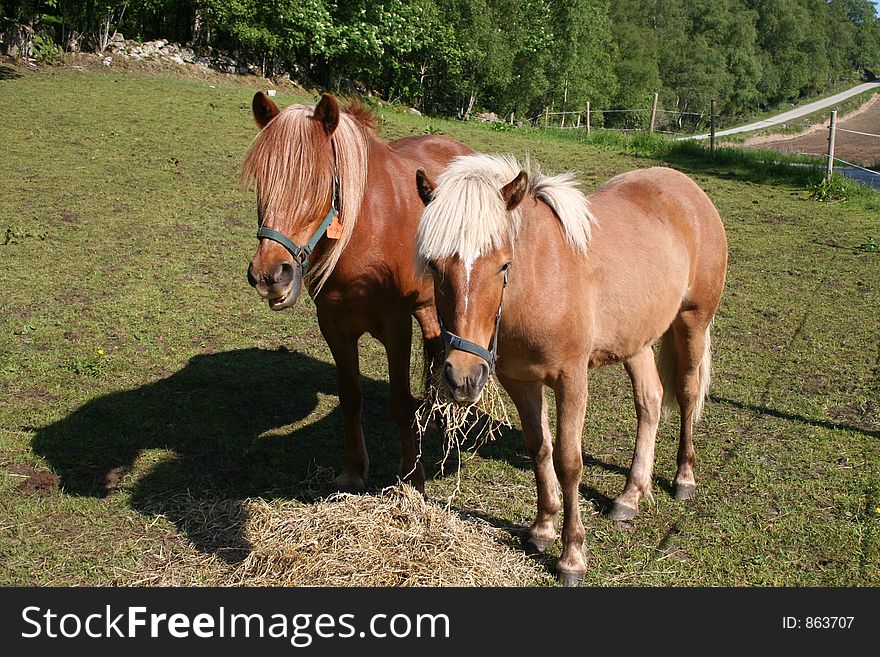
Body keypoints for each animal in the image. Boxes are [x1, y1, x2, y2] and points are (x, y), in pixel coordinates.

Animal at [241, 93, 474, 492]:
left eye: (318, 182)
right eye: (262, 179)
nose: (270, 275)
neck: (364, 233)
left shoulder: (396, 327)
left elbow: (399, 402)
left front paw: (413, 477)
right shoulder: (334, 327)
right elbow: (350, 397)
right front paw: (353, 470)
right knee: (433, 344)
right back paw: (432, 407)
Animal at [416, 155, 724, 584]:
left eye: (503, 265)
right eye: (434, 264)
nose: (463, 375)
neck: (538, 280)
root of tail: (688, 189)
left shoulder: (571, 381)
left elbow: (568, 462)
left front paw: (571, 556)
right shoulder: (520, 381)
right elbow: (539, 447)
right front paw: (543, 529)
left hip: (693, 321)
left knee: (688, 393)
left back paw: (683, 477)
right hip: (637, 340)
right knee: (650, 401)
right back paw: (630, 495)